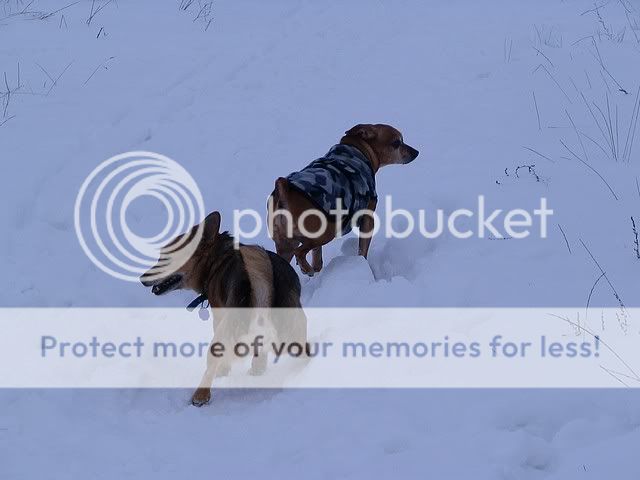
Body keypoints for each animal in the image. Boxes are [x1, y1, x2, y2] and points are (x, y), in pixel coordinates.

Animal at [140, 211, 307, 407]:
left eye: (166, 258)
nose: (142, 278)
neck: (217, 260)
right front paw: (258, 368)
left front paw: (224, 371)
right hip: (294, 329)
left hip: (224, 333)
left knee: (210, 367)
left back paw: (200, 395)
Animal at [268, 123, 419, 275]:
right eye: (397, 143)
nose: (416, 152)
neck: (357, 151)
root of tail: (284, 191)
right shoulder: (367, 219)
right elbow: (362, 250)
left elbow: (317, 257)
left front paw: (318, 269)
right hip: (325, 232)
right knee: (299, 252)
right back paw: (306, 269)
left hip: (285, 245)